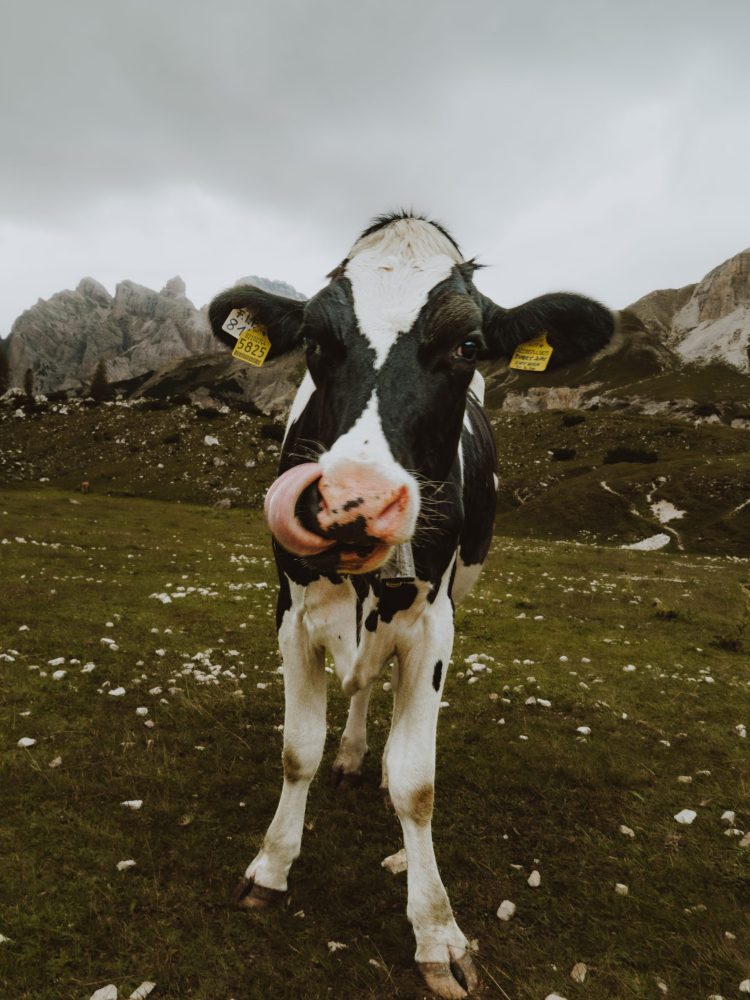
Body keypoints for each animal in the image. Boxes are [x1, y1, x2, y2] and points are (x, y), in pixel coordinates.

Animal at [208, 212, 616, 999]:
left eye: (467, 346)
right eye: (315, 340)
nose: (351, 502)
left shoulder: (433, 629)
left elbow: (417, 784)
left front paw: (435, 930)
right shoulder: (289, 614)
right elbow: (297, 750)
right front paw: (271, 867)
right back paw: (351, 751)